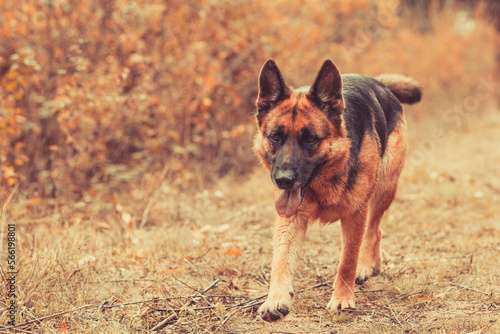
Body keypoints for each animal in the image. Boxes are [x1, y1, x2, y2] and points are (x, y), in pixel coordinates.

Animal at [252, 59, 420, 320]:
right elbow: (280, 261)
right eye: (275, 137)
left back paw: (365, 265)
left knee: (374, 230)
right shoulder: (290, 218)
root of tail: (380, 83)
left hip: (382, 189)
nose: (283, 180)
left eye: (311, 139)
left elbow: (347, 261)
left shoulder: (355, 214)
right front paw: (276, 299)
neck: (325, 181)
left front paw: (342, 299)